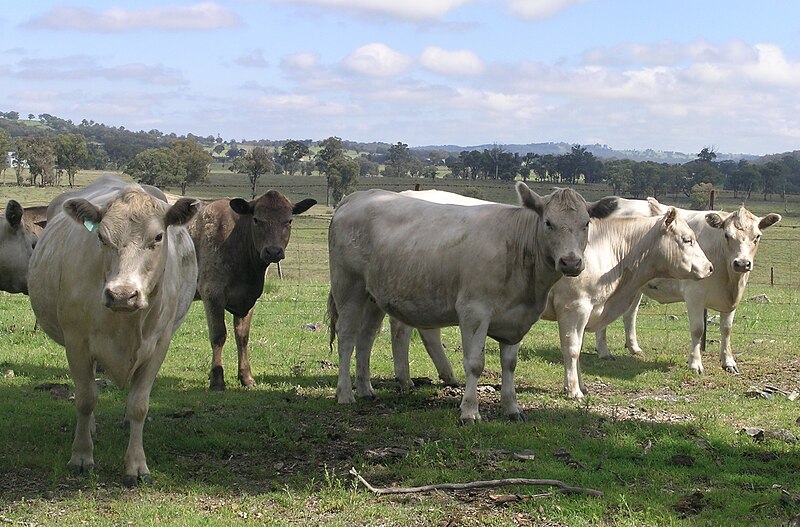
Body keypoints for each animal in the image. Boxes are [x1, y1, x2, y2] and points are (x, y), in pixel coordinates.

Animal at [29, 176, 202, 486]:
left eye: (158, 237)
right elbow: (86, 398)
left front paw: (136, 465)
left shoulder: (159, 346)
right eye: (101, 237)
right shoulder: (77, 343)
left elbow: (139, 405)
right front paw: (81, 456)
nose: (122, 294)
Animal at [189, 192, 318, 390]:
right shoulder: (212, 292)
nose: (273, 251)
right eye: (256, 220)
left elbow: (242, 337)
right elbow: (218, 335)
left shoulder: (249, 299)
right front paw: (217, 379)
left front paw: (246, 377)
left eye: (289, 220)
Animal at [326, 184, 620, 422]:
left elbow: (509, 364)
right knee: (347, 338)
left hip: (373, 295)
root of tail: (357, 196)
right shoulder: (474, 312)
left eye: (586, 223)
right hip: (348, 286)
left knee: (366, 338)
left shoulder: (516, 319)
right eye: (548, 222)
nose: (571, 262)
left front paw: (512, 408)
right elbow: (475, 363)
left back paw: (366, 390)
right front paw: (469, 411)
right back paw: (345, 393)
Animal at [592, 199, 780, 376]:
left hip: (636, 285)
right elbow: (698, 329)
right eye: (727, 235)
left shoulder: (732, 300)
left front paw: (729, 362)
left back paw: (634, 348)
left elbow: (726, 329)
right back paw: (604, 352)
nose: (741, 263)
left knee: (630, 314)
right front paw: (695, 364)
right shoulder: (694, 294)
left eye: (757, 236)